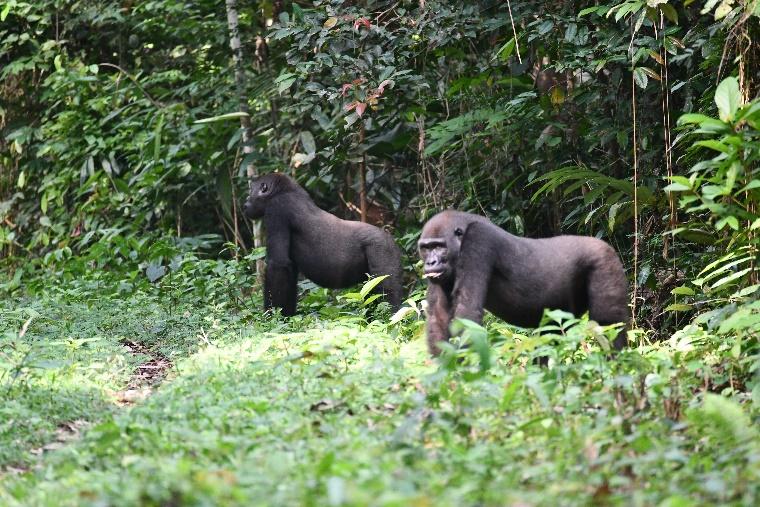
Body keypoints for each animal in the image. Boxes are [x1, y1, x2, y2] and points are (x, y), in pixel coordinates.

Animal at [243, 175, 404, 318]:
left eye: (251, 190)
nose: (246, 201)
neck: (283, 191)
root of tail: (392, 240)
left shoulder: (277, 209)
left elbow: (278, 264)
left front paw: (272, 317)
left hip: (383, 249)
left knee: (387, 290)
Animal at [418, 210, 628, 358]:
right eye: (426, 248)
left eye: (439, 246)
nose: (431, 263)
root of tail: (605, 244)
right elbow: (438, 318)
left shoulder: (479, 239)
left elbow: (467, 312)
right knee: (551, 333)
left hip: (604, 260)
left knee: (608, 324)